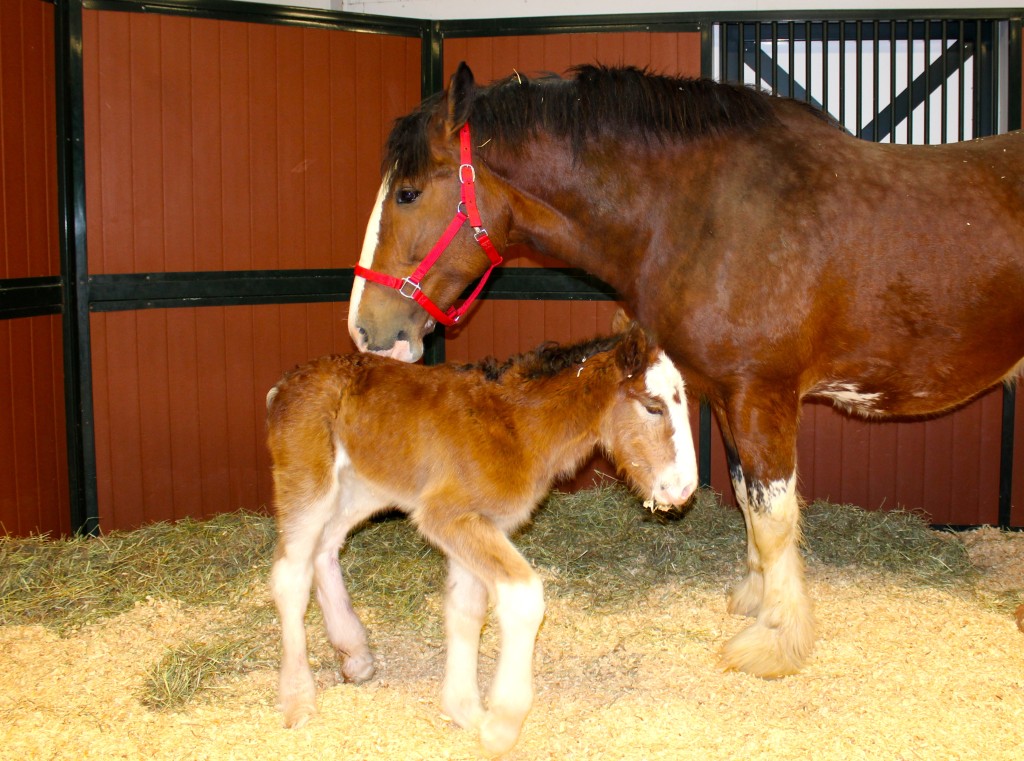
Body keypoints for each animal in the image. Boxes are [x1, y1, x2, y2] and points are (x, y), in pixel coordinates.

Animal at [350, 60, 1024, 680]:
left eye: (408, 193)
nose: (365, 329)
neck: (703, 213)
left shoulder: (760, 394)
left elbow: (775, 516)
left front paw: (775, 642)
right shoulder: (728, 396)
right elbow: (750, 503)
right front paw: (754, 600)